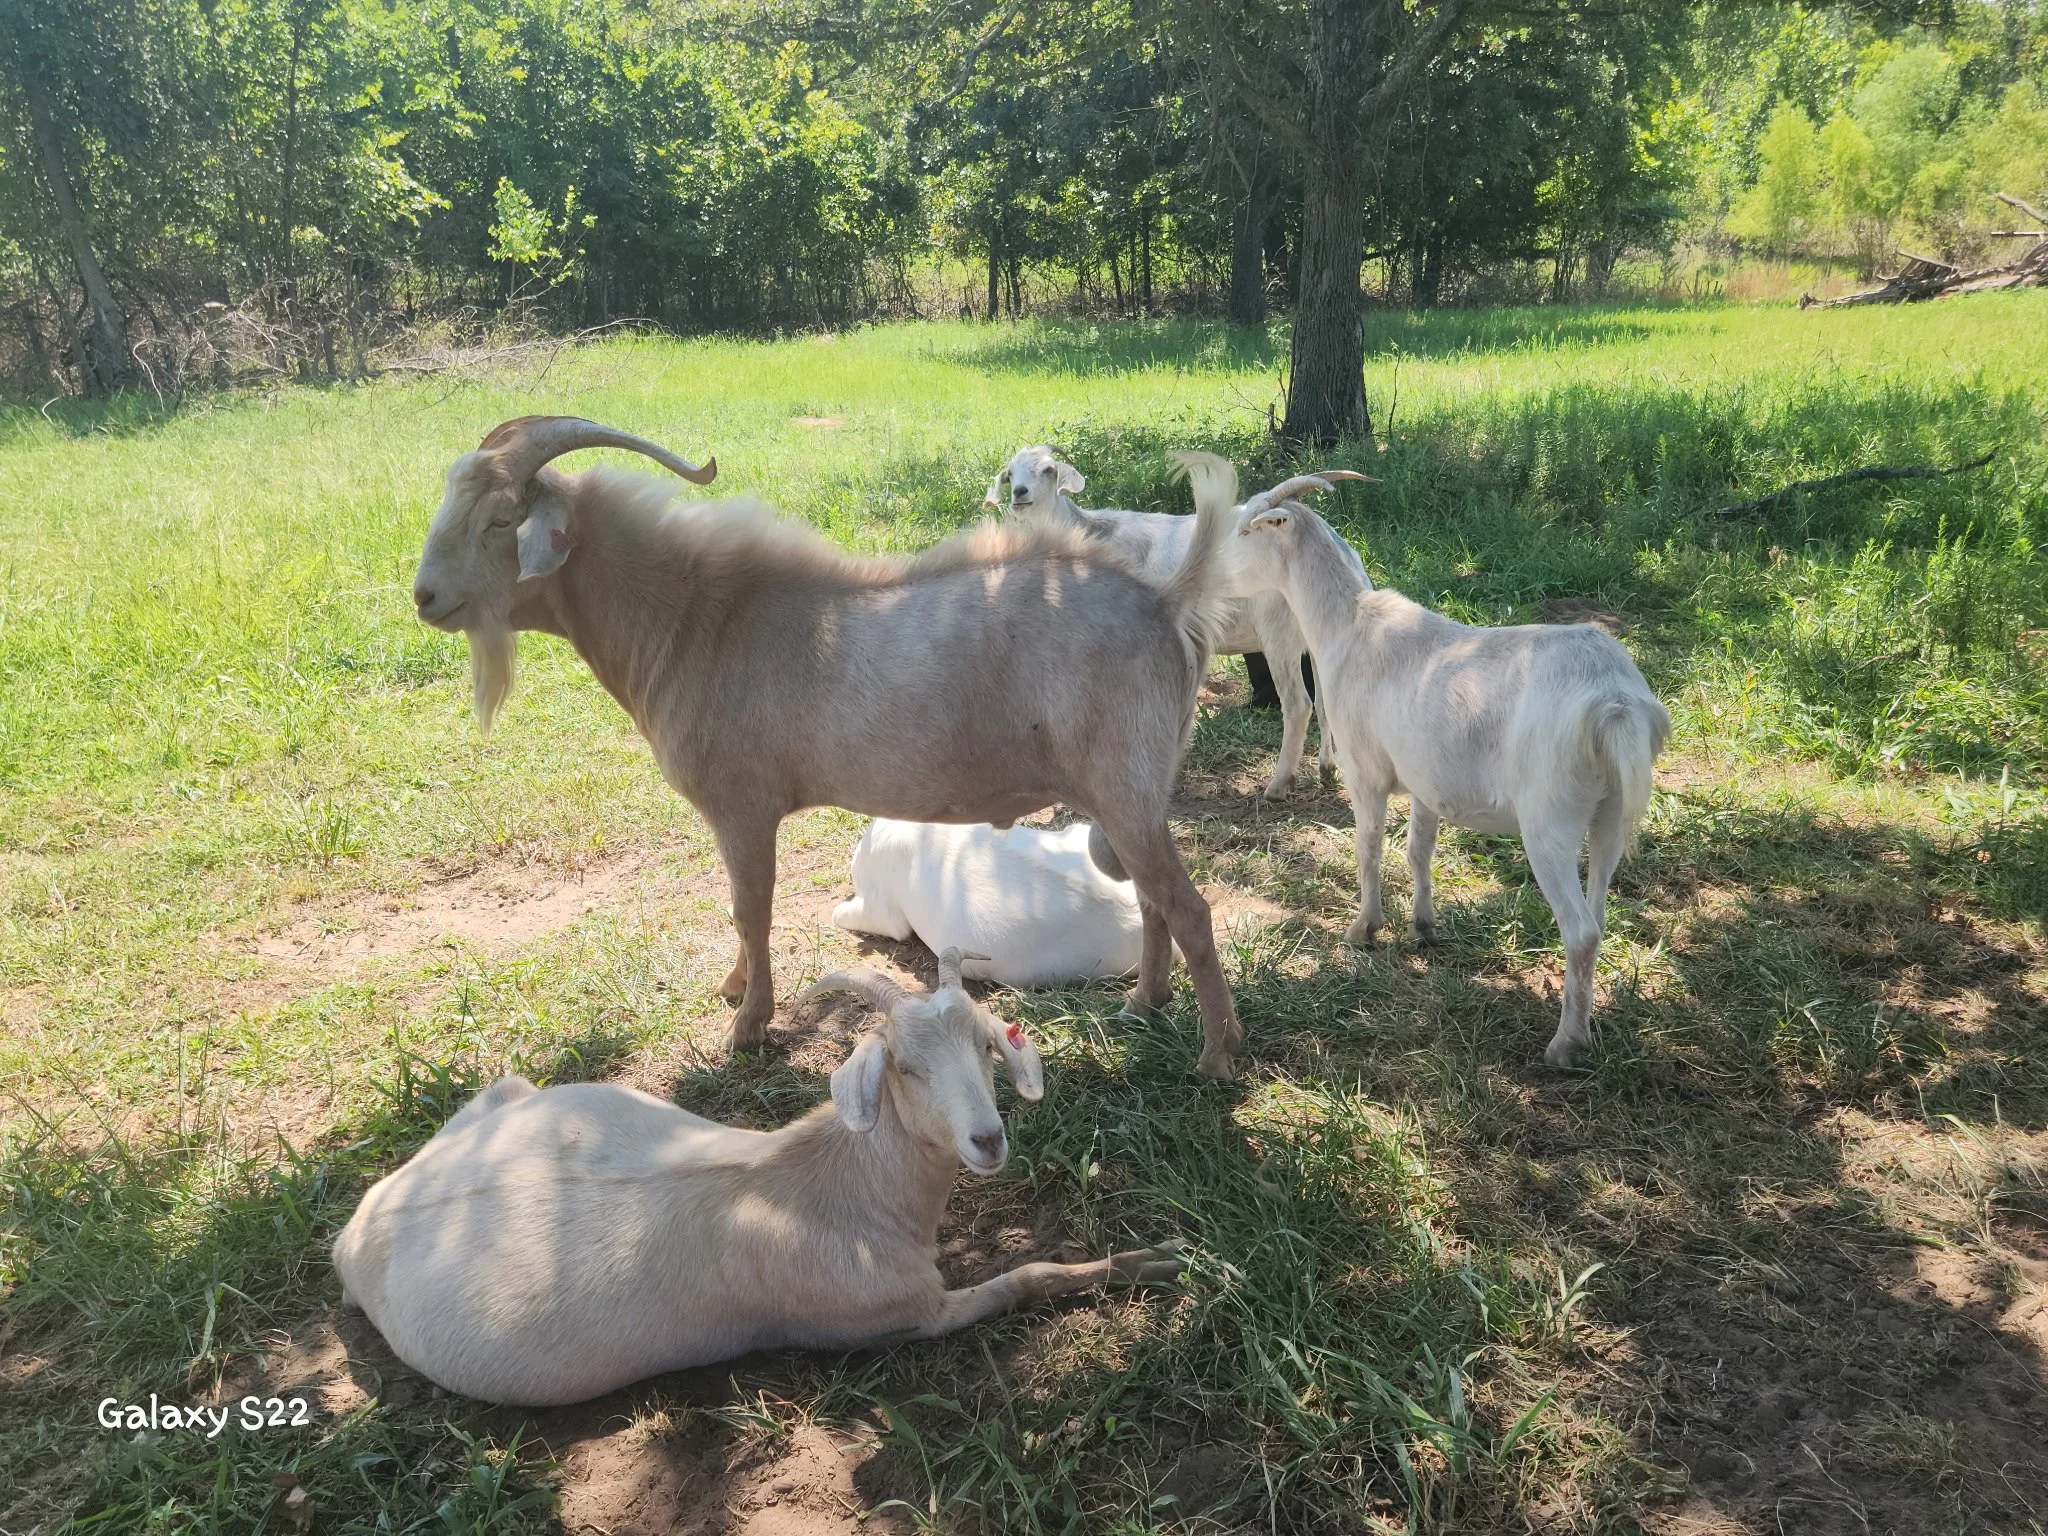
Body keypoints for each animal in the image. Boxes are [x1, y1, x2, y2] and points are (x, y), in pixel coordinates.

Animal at [333, 949, 1185, 1406]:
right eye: (905, 1067)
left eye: (984, 1043)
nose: (987, 1139)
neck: (845, 1188)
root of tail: (363, 1221)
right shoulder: (900, 1315)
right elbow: (1026, 1277)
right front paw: (1151, 1264)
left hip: (508, 1095)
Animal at [987, 444, 1371, 801]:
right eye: (1010, 473)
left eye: (1049, 470)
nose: (1020, 493)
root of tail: (1346, 555)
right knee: (1323, 702)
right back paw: (1326, 770)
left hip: (1278, 635)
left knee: (1297, 704)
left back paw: (1278, 786)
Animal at [1215, 456, 1672, 1067]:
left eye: (1247, 531)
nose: (1210, 572)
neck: (1349, 624)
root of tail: (1615, 703)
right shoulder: (1426, 782)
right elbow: (1418, 852)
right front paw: (1423, 927)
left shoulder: (1366, 773)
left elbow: (1367, 848)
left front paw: (1364, 929)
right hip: (1609, 815)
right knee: (1598, 916)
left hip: (1549, 822)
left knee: (1580, 930)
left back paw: (1564, 1045)